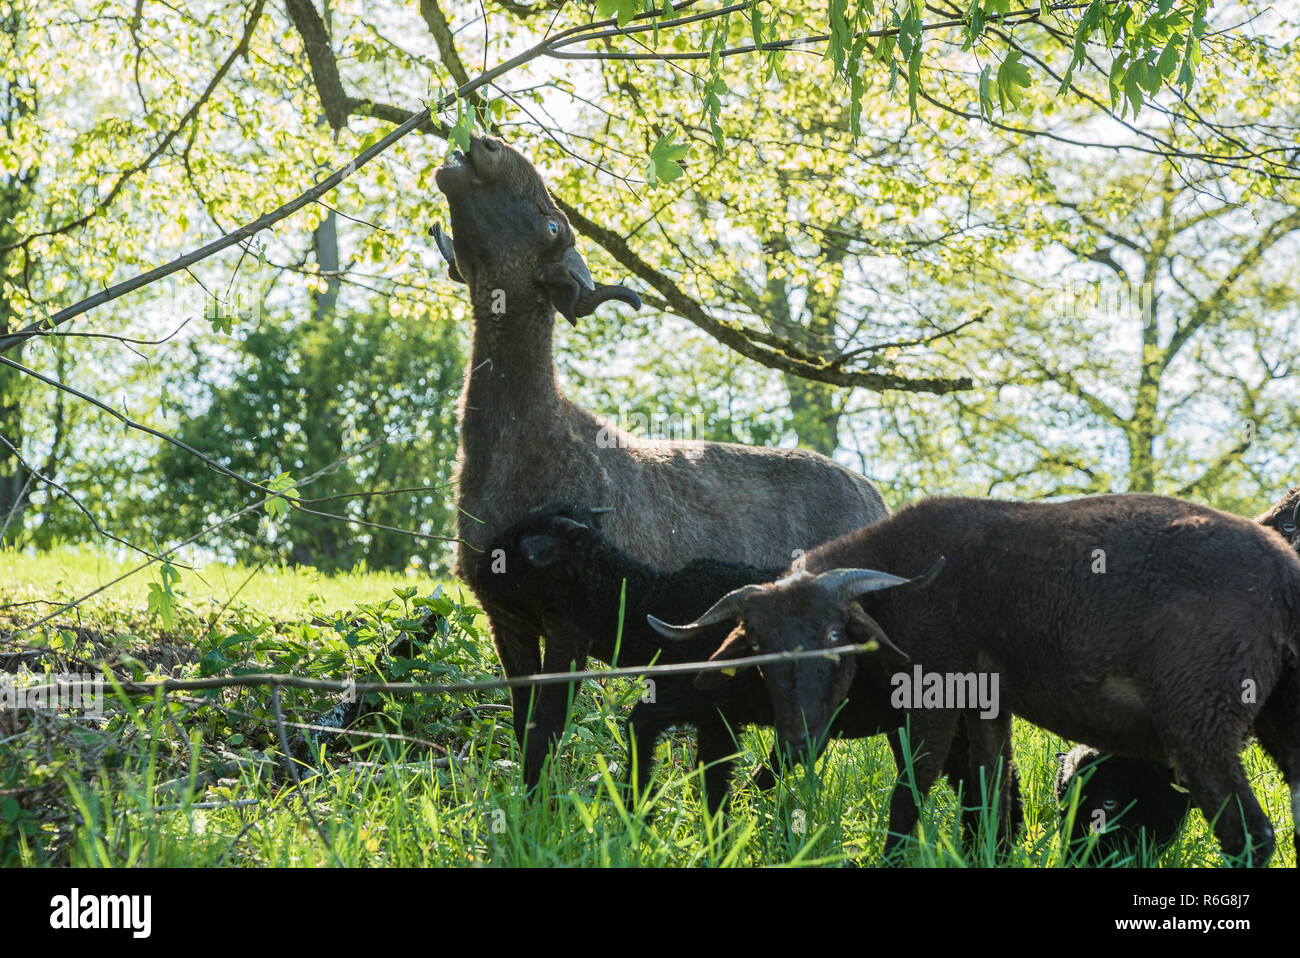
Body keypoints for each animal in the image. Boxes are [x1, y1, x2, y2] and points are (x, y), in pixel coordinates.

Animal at [431, 136, 889, 785]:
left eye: (553, 224)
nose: (485, 144)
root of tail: (878, 496)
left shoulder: (569, 624)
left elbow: (547, 729)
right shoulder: (505, 617)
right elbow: (523, 728)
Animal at [483, 501, 1019, 837]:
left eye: (520, 544)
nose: (478, 563)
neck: (648, 604)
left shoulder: (705, 706)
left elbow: (679, 757)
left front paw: (647, 815)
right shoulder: (708, 714)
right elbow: (698, 771)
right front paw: (666, 822)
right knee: (991, 785)